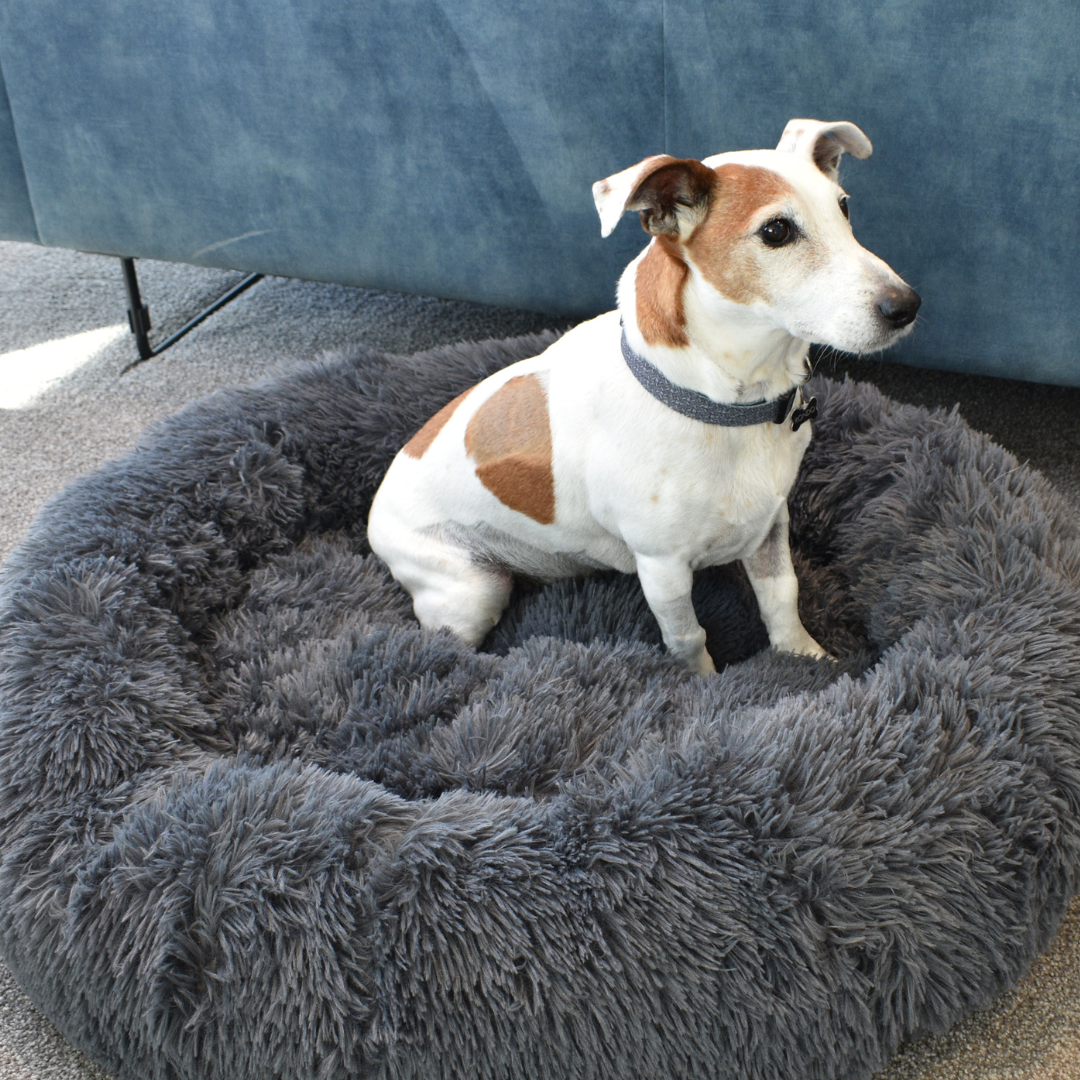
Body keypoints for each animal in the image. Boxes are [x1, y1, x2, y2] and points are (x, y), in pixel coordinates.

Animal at [371, 120, 920, 673]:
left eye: (843, 208)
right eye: (776, 232)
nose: (907, 305)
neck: (720, 406)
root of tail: (375, 513)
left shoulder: (770, 525)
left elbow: (783, 598)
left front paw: (805, 658)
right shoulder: (662, 568)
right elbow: (689, 636)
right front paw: (703, 680)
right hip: (471, 589)